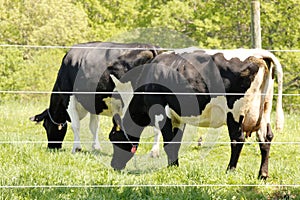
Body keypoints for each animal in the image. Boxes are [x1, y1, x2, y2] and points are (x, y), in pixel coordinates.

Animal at [29, 41, 162, 152]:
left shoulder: (69, 98)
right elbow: (94, 126)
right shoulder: (93, 101)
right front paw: (96, 147)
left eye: (45, 126)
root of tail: (151, 47)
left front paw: (77, 148)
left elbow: (76, 125)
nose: (52, 147)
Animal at [108, 48, 284, 180]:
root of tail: (258, 54)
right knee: (265, 139)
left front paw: (171, 167)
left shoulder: (162, 111)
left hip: (235, 112)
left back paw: (230, 170)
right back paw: (262, 174)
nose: (114, 166)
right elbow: (175, 142)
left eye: (115, 140)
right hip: (264, 111)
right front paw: (174, 166)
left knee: (237, 140)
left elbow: (169, 142)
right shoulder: (178, 116)